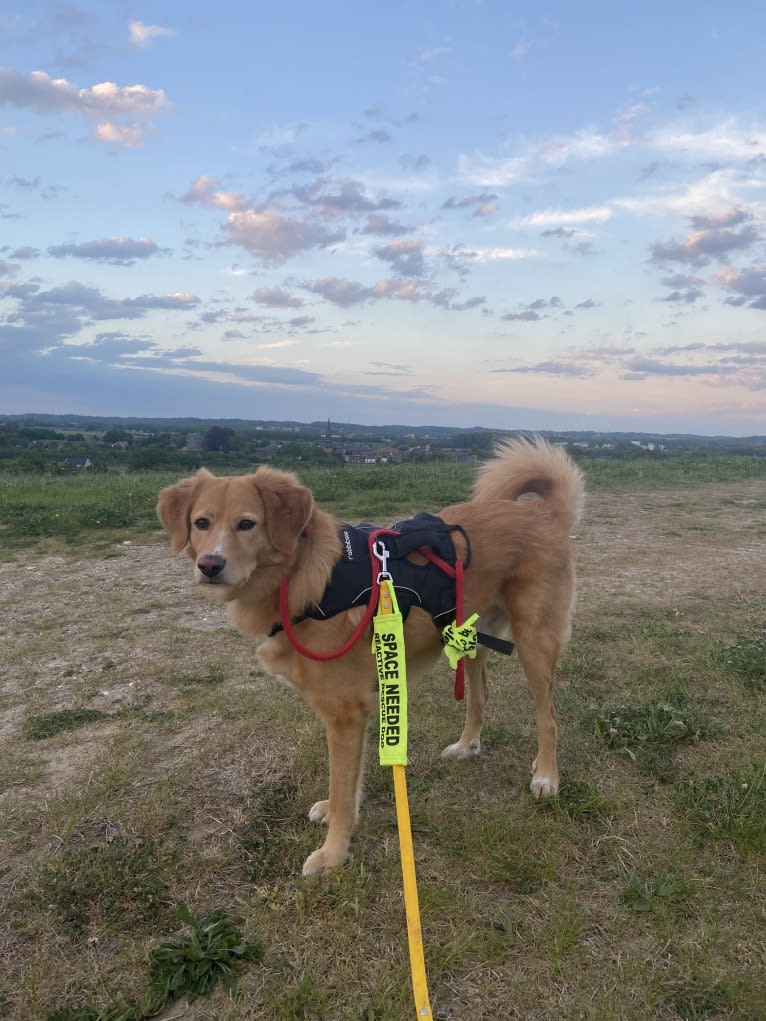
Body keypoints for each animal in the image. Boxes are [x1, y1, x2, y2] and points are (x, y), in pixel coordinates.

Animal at [159, 434, 584, 873]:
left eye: (247, 524)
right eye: (201, 523)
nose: (210, 565)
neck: (301, 577)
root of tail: (543, 515)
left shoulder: (346, 713)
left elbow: (343, 788)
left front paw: (332, 854)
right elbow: (349, 783)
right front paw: (333, 817)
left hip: (534, 644)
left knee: (548, 716)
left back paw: (546, 775)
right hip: (470, 640)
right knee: (479, 697)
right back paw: (467, 746)